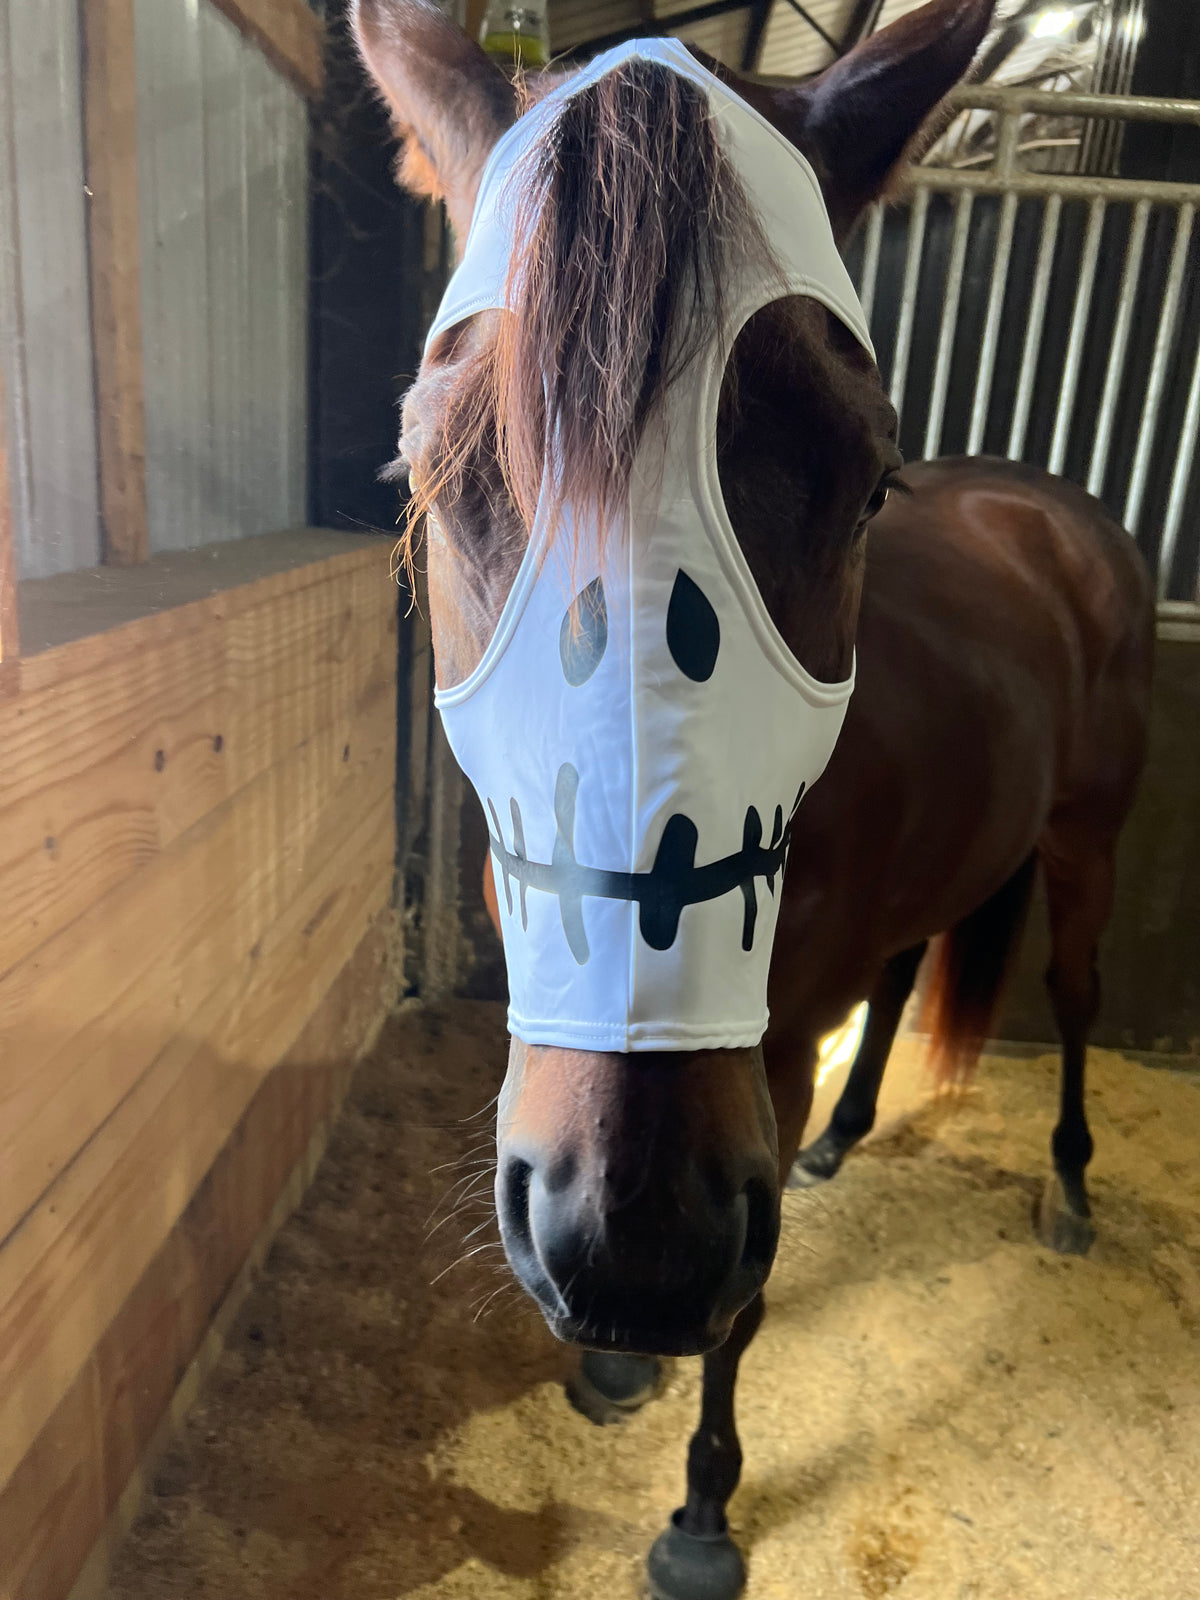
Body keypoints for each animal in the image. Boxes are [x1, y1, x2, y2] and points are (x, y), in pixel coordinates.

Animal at [351, 3, 1154, 1595]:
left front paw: (702, 1510)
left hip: (1087, 839)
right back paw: (848, 1136)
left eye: (866, 481)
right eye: (439, 471)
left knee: (1078, 993)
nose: (631, 1237)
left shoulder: (762, 1069)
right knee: (910, 965)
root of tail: (1051, 506)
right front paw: (617, 1373)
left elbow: (746, 1303)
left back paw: (1073, 1188)